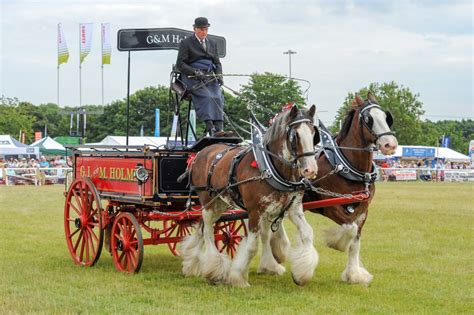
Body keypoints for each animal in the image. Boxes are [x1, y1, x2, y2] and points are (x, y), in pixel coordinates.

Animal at [181, 105, 318, 288]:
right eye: (294, 136)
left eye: (313, 134)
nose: (310, 170)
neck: (270, 167)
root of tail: (200, 153)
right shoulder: (254, 211)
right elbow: (252, 245)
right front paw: (238, 278)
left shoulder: (292, 209)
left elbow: (307, 232)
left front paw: (301, 274)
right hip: (207, 202)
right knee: (208, 231)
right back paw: (213, 269)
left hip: (220, 203)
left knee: (202, 228)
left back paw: (192, 264)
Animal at [266, 93, 396, 286]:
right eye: (368, 119)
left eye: (386, 117)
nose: (390, 144)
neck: (347, 166)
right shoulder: (331, 207)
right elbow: (350, 230)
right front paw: (336, 242)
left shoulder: (363, 210)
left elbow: (355, 241)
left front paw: (354, 274)